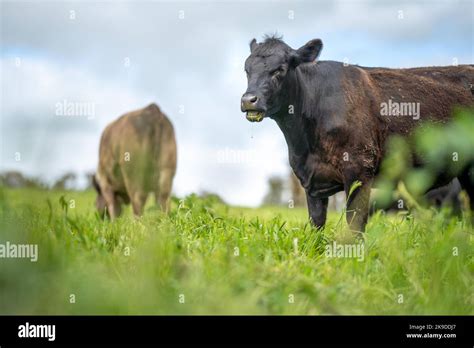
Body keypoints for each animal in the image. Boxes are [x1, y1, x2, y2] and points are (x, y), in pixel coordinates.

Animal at [243, 35, 472, 232]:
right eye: (246, 70)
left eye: (280, 69)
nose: (248, 100)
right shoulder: (311, 181)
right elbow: (316, 225)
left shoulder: (360, 169)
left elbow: (355, 223)